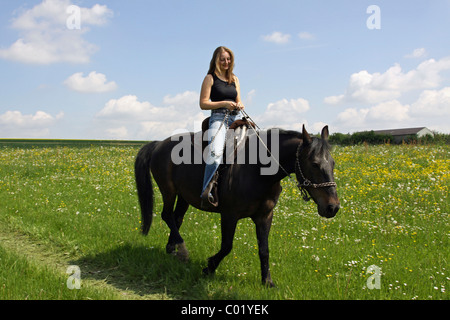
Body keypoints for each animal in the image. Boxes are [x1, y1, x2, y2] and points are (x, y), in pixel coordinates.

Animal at [135, 124, 340, 286]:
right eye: (314, 164)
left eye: (332, 163)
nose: (333, 207)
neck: (257, 170)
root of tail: (159, 144)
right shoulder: (229, 215)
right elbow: (227, 246)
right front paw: (209, 267)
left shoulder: (265, 216)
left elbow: (264, 250)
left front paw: (267, 281)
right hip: (168, 190)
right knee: (167, 215)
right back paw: (182, 251)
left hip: (184, 196)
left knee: (176, 218)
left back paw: (173, 249)